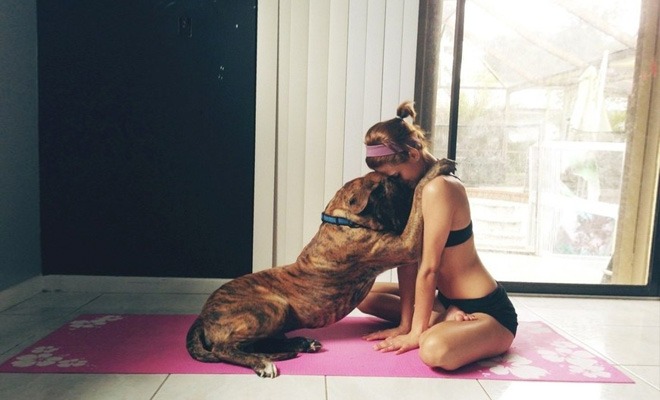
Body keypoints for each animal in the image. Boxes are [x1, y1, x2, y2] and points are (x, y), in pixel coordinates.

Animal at [184, 158, 454, 376]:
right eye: (394, 183)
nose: (406, 181)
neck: (344, 219)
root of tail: (202, 315)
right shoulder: (405, 244)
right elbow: (419, 199)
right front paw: (433, 171)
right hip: (273, 307)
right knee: (224, 349)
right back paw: (264, 363)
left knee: (256, 343)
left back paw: (300, 344)